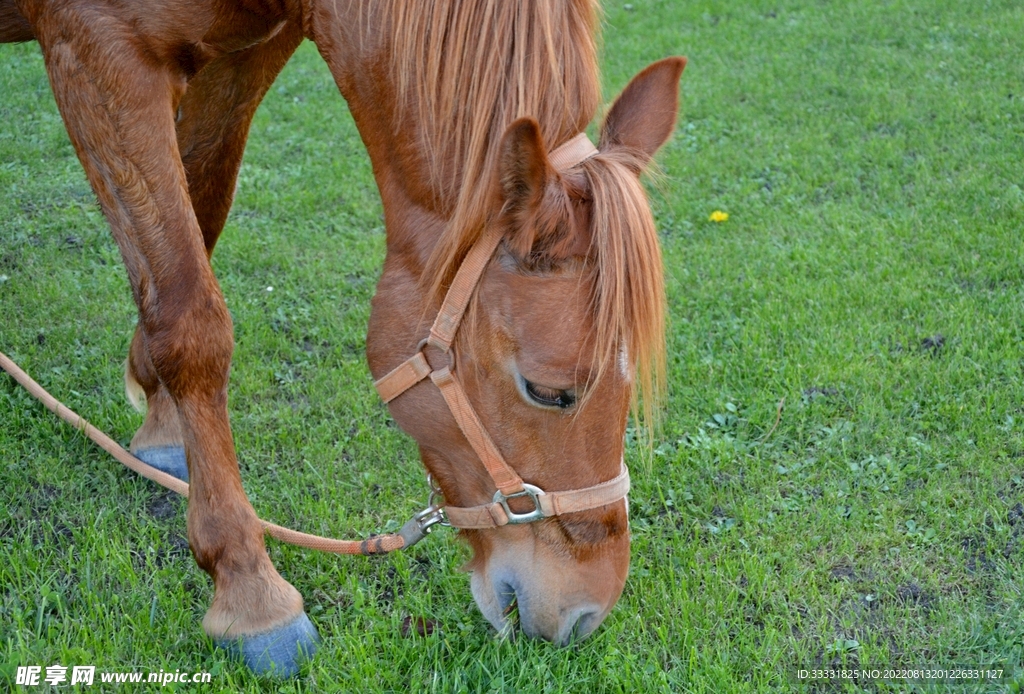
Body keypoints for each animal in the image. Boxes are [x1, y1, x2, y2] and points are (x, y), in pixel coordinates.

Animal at [2, 0, 684, 676]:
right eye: (547, 391)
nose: (588, 609)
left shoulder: (242, 58)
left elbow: (200, 212)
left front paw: (162, 421)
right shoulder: (97, 47)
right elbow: (187, 315)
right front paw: (250, 593)